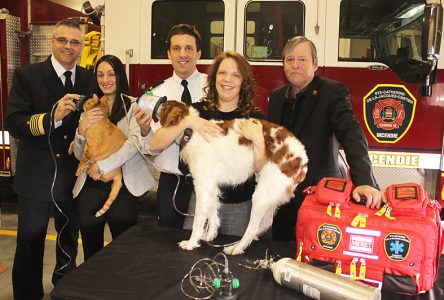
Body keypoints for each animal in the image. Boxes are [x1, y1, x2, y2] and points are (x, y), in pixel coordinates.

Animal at [160, 101, 308, 255]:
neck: (192, 133)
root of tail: (302, 158)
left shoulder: (203, 185)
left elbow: (198, 220)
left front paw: (191, 243)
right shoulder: (211, 186)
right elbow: (213, 213)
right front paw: (210, 235)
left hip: (262, 194)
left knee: (252, 229)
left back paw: (236, 248)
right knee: (264, 224)